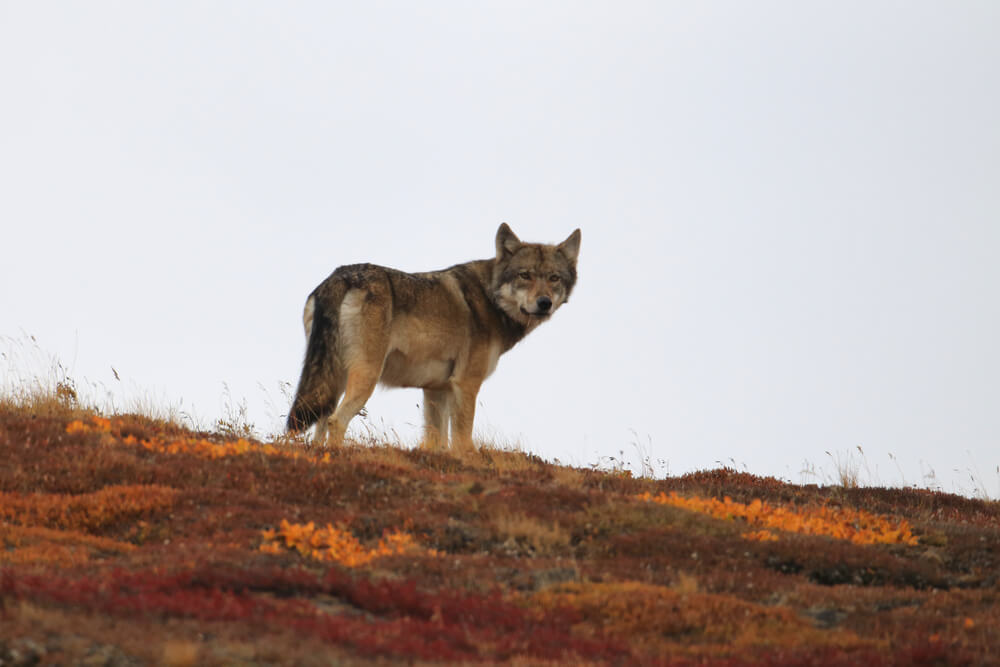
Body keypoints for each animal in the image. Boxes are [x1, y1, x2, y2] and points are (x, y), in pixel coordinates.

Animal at [286, 222, 584, 452]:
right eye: (525, 275)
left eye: (554, 278)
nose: (544, 303)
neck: (490, 299)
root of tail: (340, 275)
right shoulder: (466, 384)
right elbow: (462, 441)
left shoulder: (436, 389)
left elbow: (435, 441)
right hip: (365, 376)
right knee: (336, 421)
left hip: (331, 379)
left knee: (319, 422)